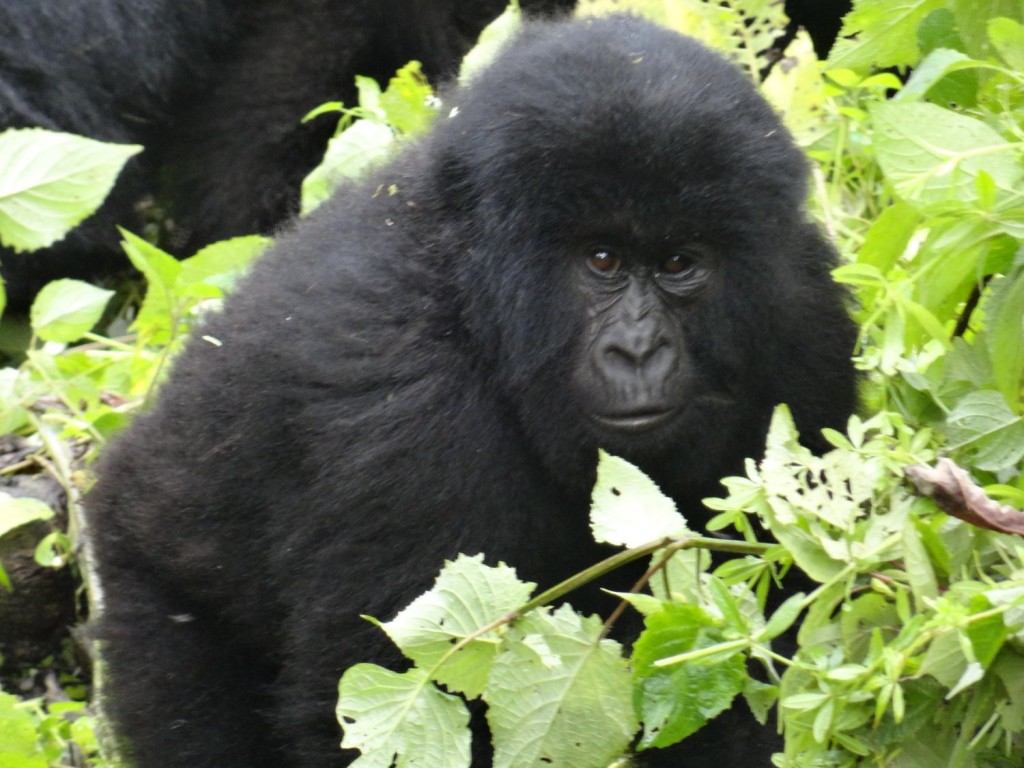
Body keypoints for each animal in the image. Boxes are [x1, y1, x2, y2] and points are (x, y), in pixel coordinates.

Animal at [86, 13, 856, 768]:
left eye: (677, 263)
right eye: (602, 260)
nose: (637, 350)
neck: (476, 289)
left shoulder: (805, 319)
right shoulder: (404, 416)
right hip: (144, 584)